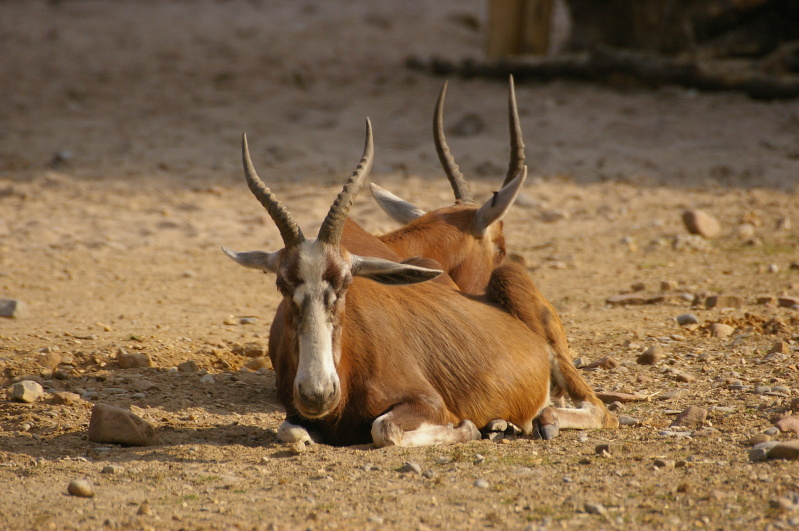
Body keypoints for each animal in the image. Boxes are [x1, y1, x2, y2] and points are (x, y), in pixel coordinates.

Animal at [225, 118, 620, 446]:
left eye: (346, 284)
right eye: (282, 285)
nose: (317, 393)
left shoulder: (427, 402)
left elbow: (383, 429)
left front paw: (469, 428)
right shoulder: (296, 415)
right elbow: (292, 432)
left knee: (598, 410)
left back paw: (537, 420)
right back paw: (501, 424)